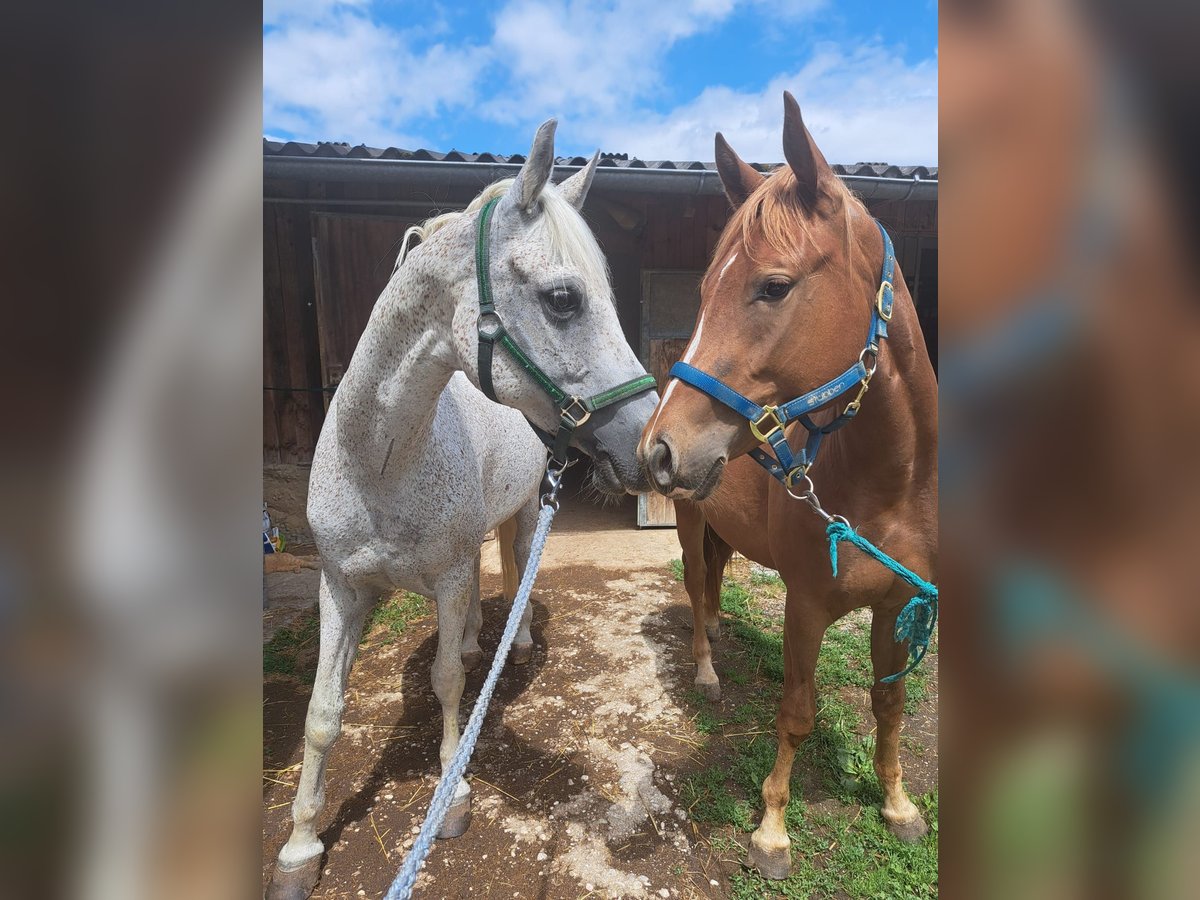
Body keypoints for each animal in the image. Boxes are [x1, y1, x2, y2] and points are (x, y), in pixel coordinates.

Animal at [267, 119, 659, 900]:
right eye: (564, 299)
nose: (653, 445)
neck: (380, 462)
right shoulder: (341, 586)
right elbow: (322, 716)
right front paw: (299, 847)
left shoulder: (444, 577)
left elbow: (448, 682)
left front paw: (453, 795)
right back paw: (481, 637)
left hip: (524, 514)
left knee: (515, 574)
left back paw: (514, 640)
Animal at [638, 92, 938, 879]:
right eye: (703, 290)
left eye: (773, 286)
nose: (659, 449)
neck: (886, 488)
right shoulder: (804, 607)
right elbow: (796, 712)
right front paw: (772, 830)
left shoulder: (898, 606)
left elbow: (889, 708)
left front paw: (898, 804)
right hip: (689, 523)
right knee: (694, 583)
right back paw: (707, 671)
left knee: (715, 579)